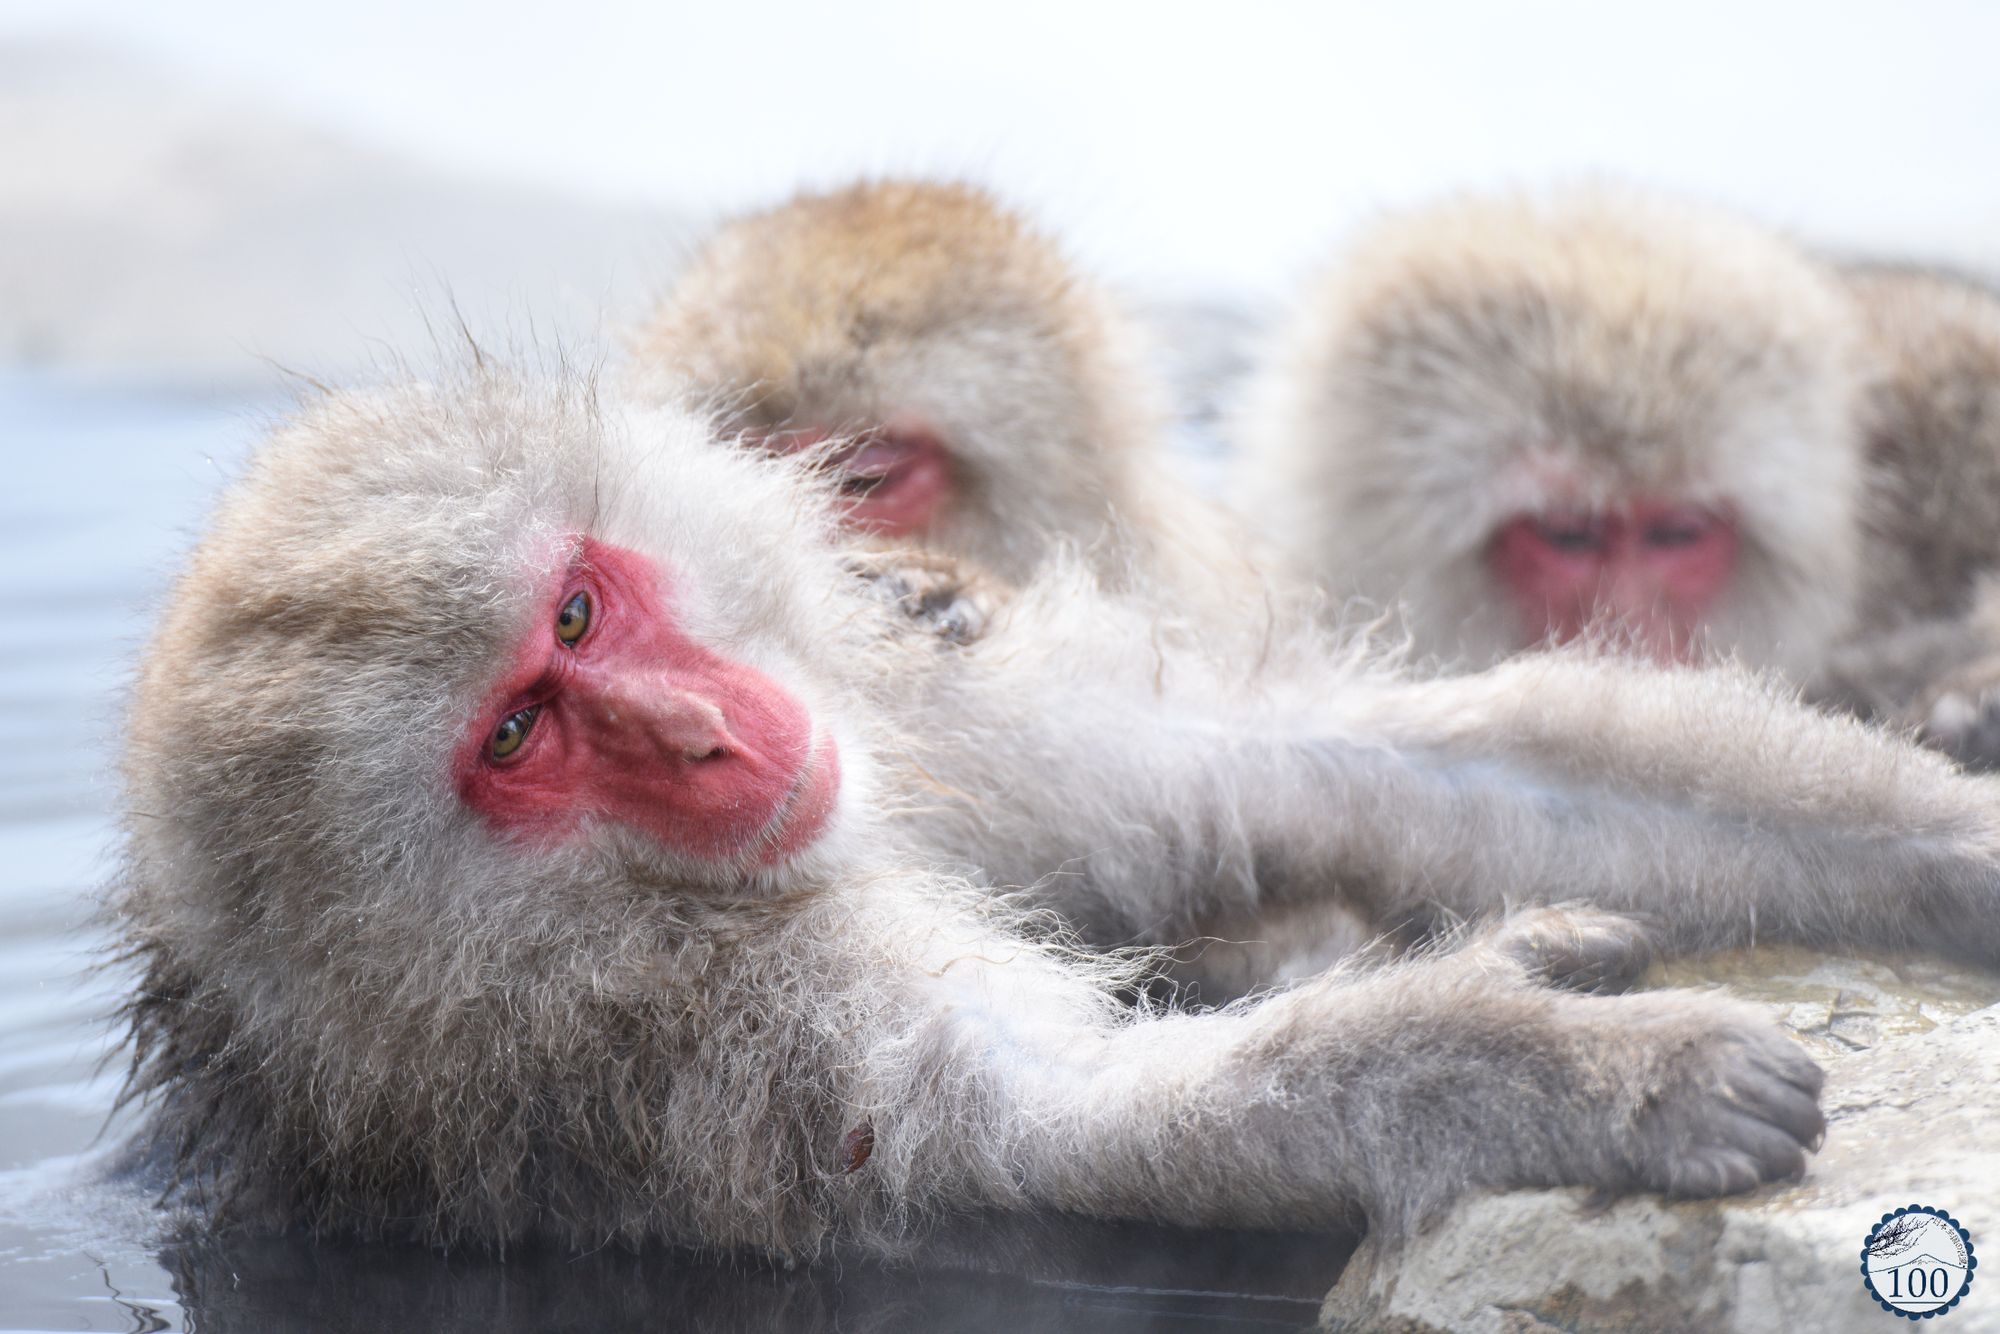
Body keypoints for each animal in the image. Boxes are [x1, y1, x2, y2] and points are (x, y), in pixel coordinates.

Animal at [116, 363, 2000, 1264]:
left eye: (578, 615)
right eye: (516, 734)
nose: (702, 733)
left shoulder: (897, 709)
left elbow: (1364, 763)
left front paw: (1963, 851)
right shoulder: (684, 1037)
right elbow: (1065, 1129)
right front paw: (1604, 1074)